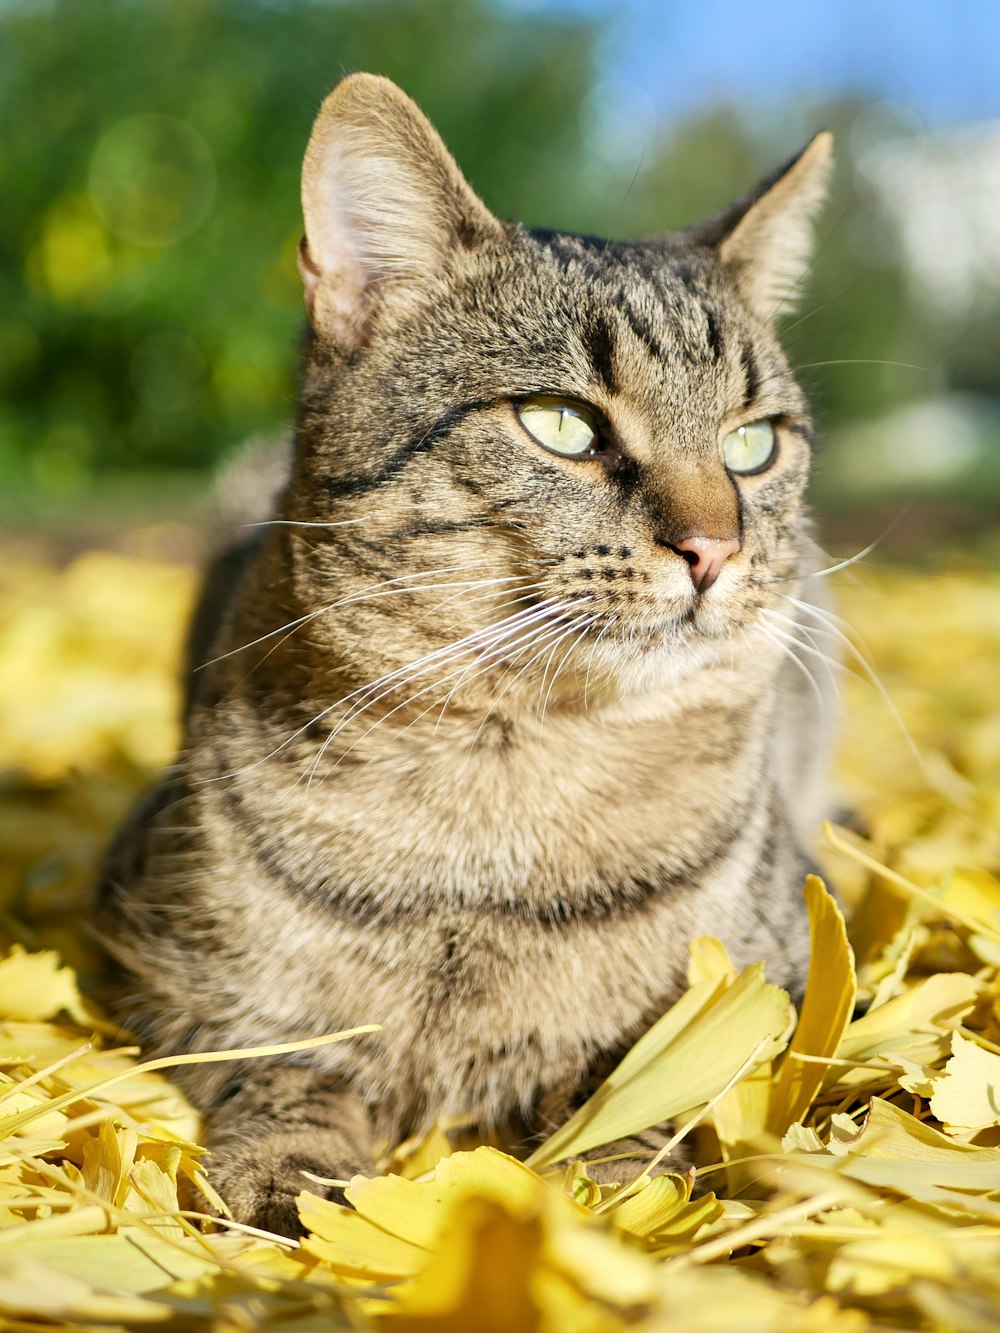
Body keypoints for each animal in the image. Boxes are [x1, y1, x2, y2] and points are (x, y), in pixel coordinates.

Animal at [100, 75, 837, 1237]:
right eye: (562, 423)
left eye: (751, 443)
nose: (714, 547)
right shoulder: (162, 968)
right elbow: (288, 1060)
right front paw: (303, 1179)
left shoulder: (796, 982)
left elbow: (657, 1083)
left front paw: (604, 1183)